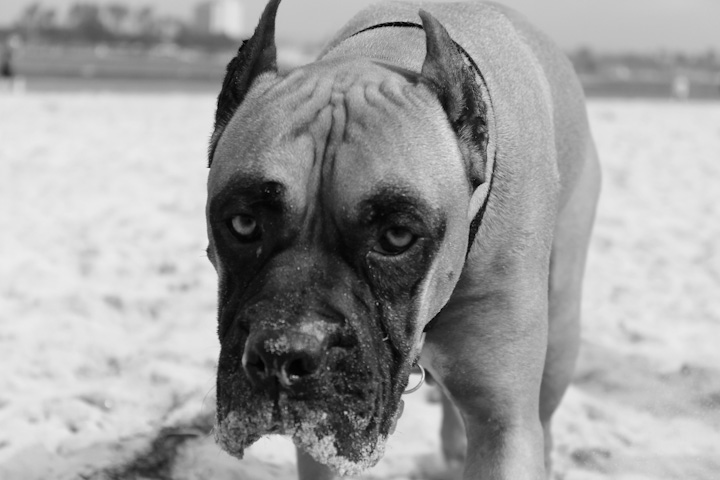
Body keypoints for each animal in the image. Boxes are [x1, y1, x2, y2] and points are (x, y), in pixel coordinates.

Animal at [205, 1, 600, 478]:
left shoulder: (504, 426)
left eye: (397, 237)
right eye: (243, 223)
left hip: (562, 331)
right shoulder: (321, 444)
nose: (283, 354)